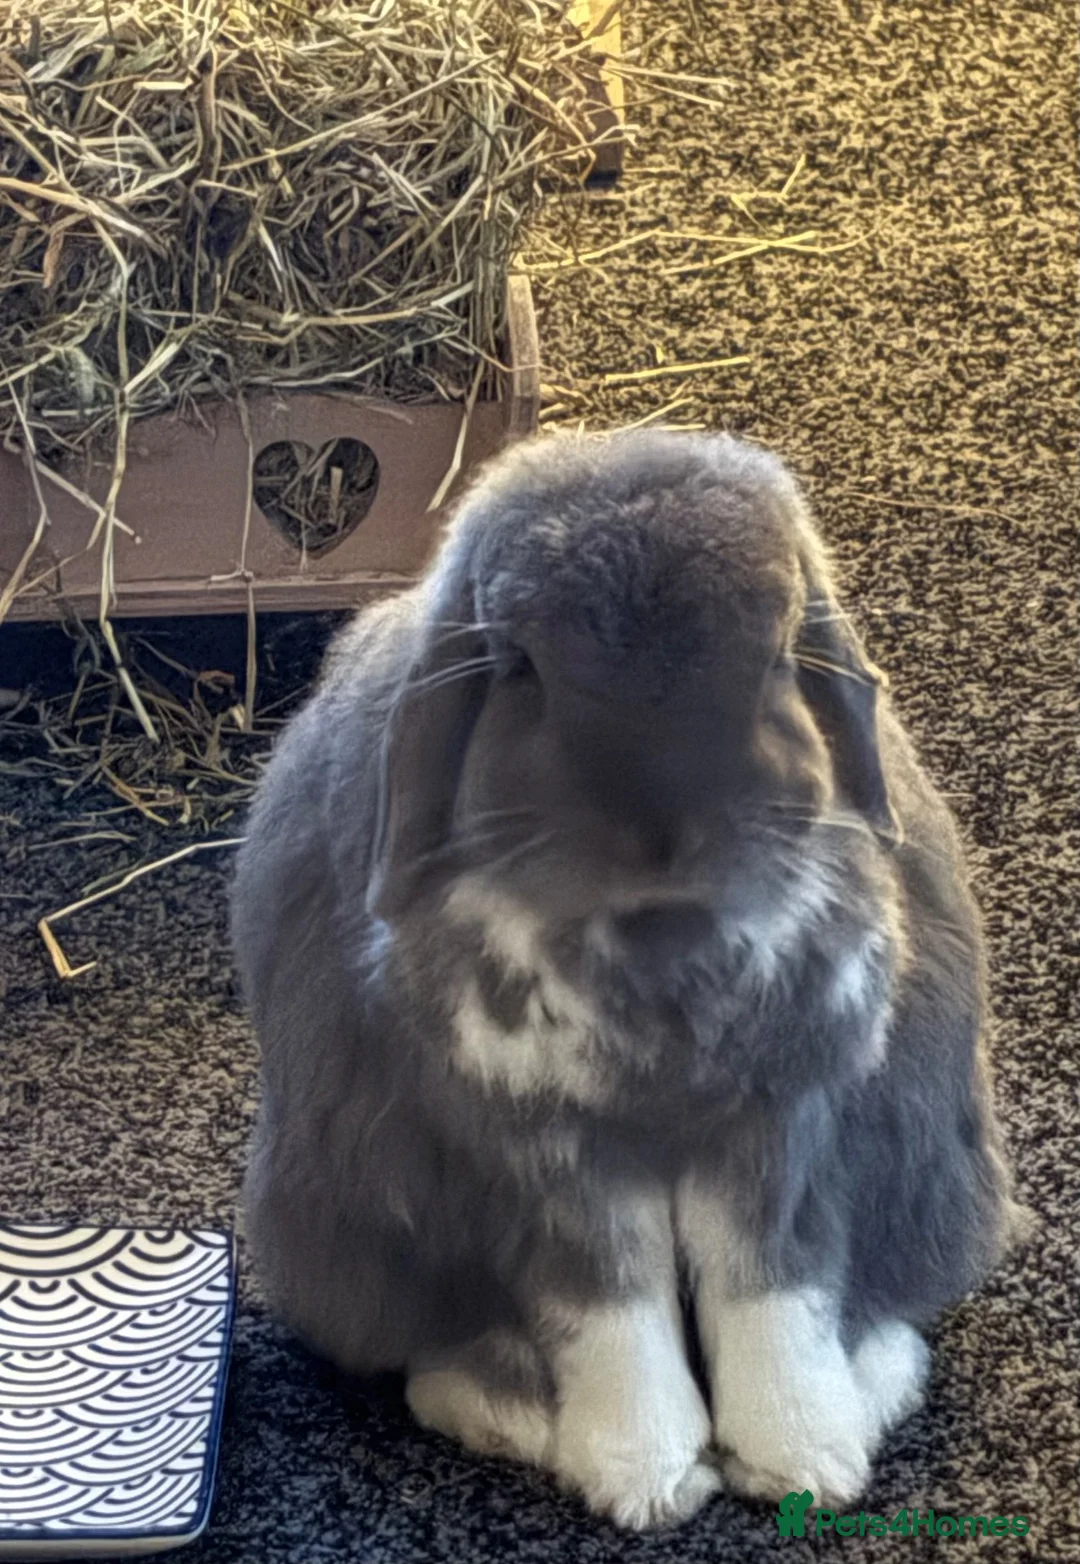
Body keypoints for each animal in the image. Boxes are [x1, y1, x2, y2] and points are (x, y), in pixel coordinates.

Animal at [231, 429, 1023, 1531]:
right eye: (519, 668)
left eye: (777, 654)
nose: (660, 834)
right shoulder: (551, 1151)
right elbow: (609, 1306)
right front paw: (648, 1482)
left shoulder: (784, 1124)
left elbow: (776, 1287)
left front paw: (804, 1466)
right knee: (448, 1350)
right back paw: (512, 1410)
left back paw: (871, 1383)